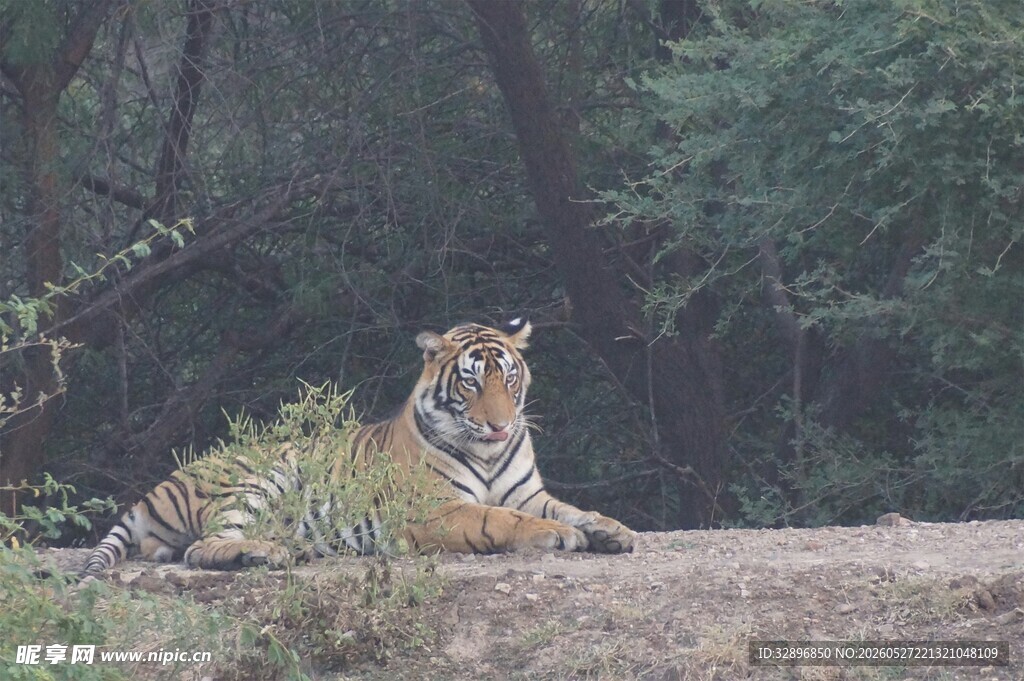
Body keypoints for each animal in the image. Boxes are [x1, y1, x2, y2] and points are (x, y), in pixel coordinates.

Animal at [82, 319, 635, 575]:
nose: (500, 425)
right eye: (472, 382)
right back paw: (267, 551)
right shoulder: (434, 509)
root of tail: (154, 489)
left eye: (510, 378)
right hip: (256, 477)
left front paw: (612, 530)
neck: (489, 451)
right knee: (201, 547)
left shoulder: (527, 492)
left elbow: (570, 508)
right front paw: (559, 535)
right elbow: (500, 519)